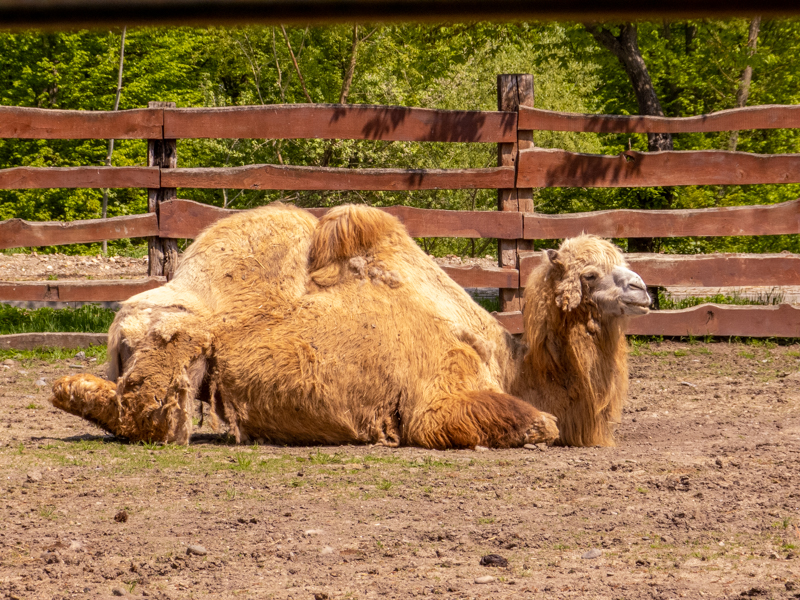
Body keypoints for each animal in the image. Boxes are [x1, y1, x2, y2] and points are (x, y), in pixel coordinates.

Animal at [50, 203, 650, 448]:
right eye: (591, 274)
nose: (643, 290)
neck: (510, 364)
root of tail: (119, 323)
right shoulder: (442, 395)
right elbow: (540, 426)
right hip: (179, 338)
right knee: (150, 419)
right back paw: (68, 389)